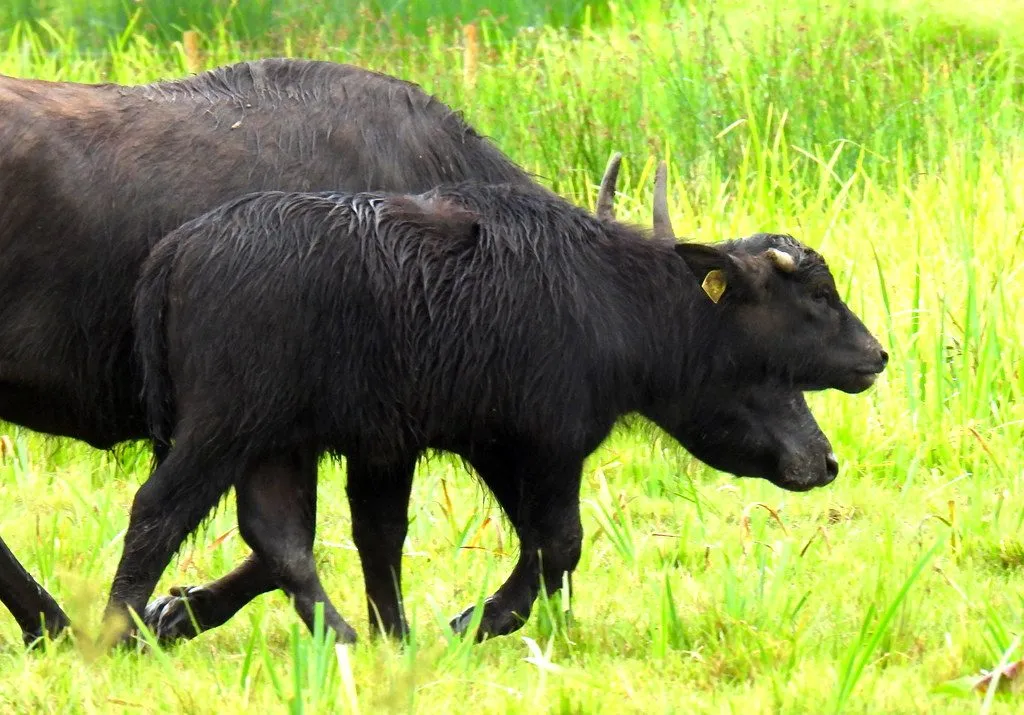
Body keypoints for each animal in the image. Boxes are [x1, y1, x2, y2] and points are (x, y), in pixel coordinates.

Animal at [106, 161, 888, 647]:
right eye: (817, 296)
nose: (876, 356)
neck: (609, 298)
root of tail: (179, 251)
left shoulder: (397, 448)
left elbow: (384, 538)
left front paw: (401, 634)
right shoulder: (540, 446)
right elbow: (559, 542)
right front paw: (472, 621)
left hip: (273, 442)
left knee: (279, 537)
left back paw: (340, 636)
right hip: (223, 429)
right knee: (158, 510)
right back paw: (116, 631)